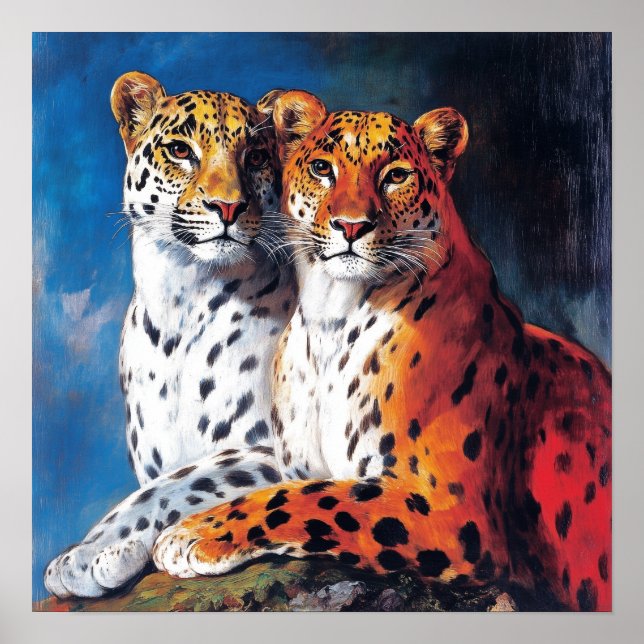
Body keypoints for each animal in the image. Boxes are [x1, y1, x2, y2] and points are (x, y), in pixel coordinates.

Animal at [44, 73, 296, 598]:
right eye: (181, 150)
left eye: (255, 157)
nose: (228, 206)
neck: (182, 302)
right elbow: (168, 481)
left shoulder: (282, 451)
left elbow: (183, 481)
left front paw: (88, 554)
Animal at [153, 89, 612, 611]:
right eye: (322, 168)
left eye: (395, 175)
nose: (352, 226)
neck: (330, 319)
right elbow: (306, 488)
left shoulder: (453, 514)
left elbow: (312, 498)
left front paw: (194, 533)